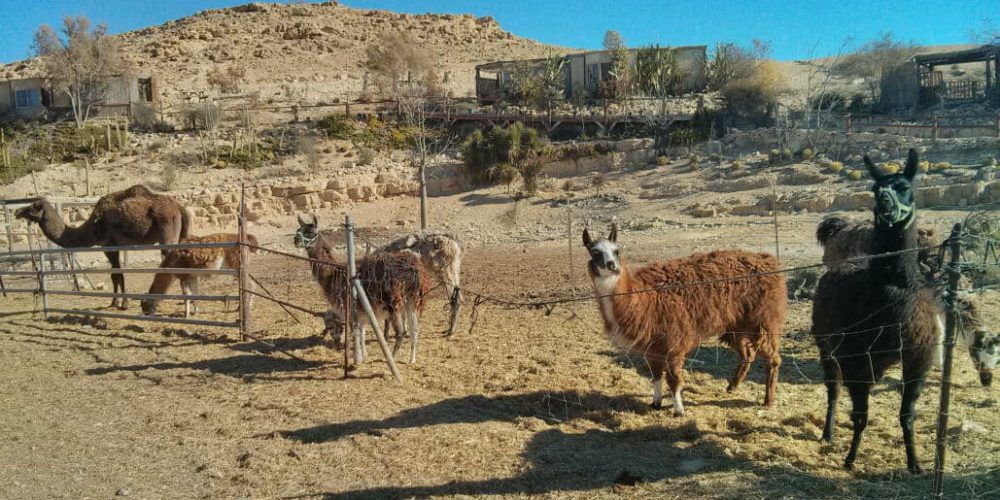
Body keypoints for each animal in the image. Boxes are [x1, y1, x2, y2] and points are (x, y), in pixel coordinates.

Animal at [15, 184, 191, 308]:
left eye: (32, 207)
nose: (17, 212)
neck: (91, 227)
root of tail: (179, 208)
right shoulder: (115, 247)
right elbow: (116, 274)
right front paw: (116, 302)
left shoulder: (107, 246)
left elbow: (116, 274)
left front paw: (121, 303)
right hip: (180, 235)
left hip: (166, 230)